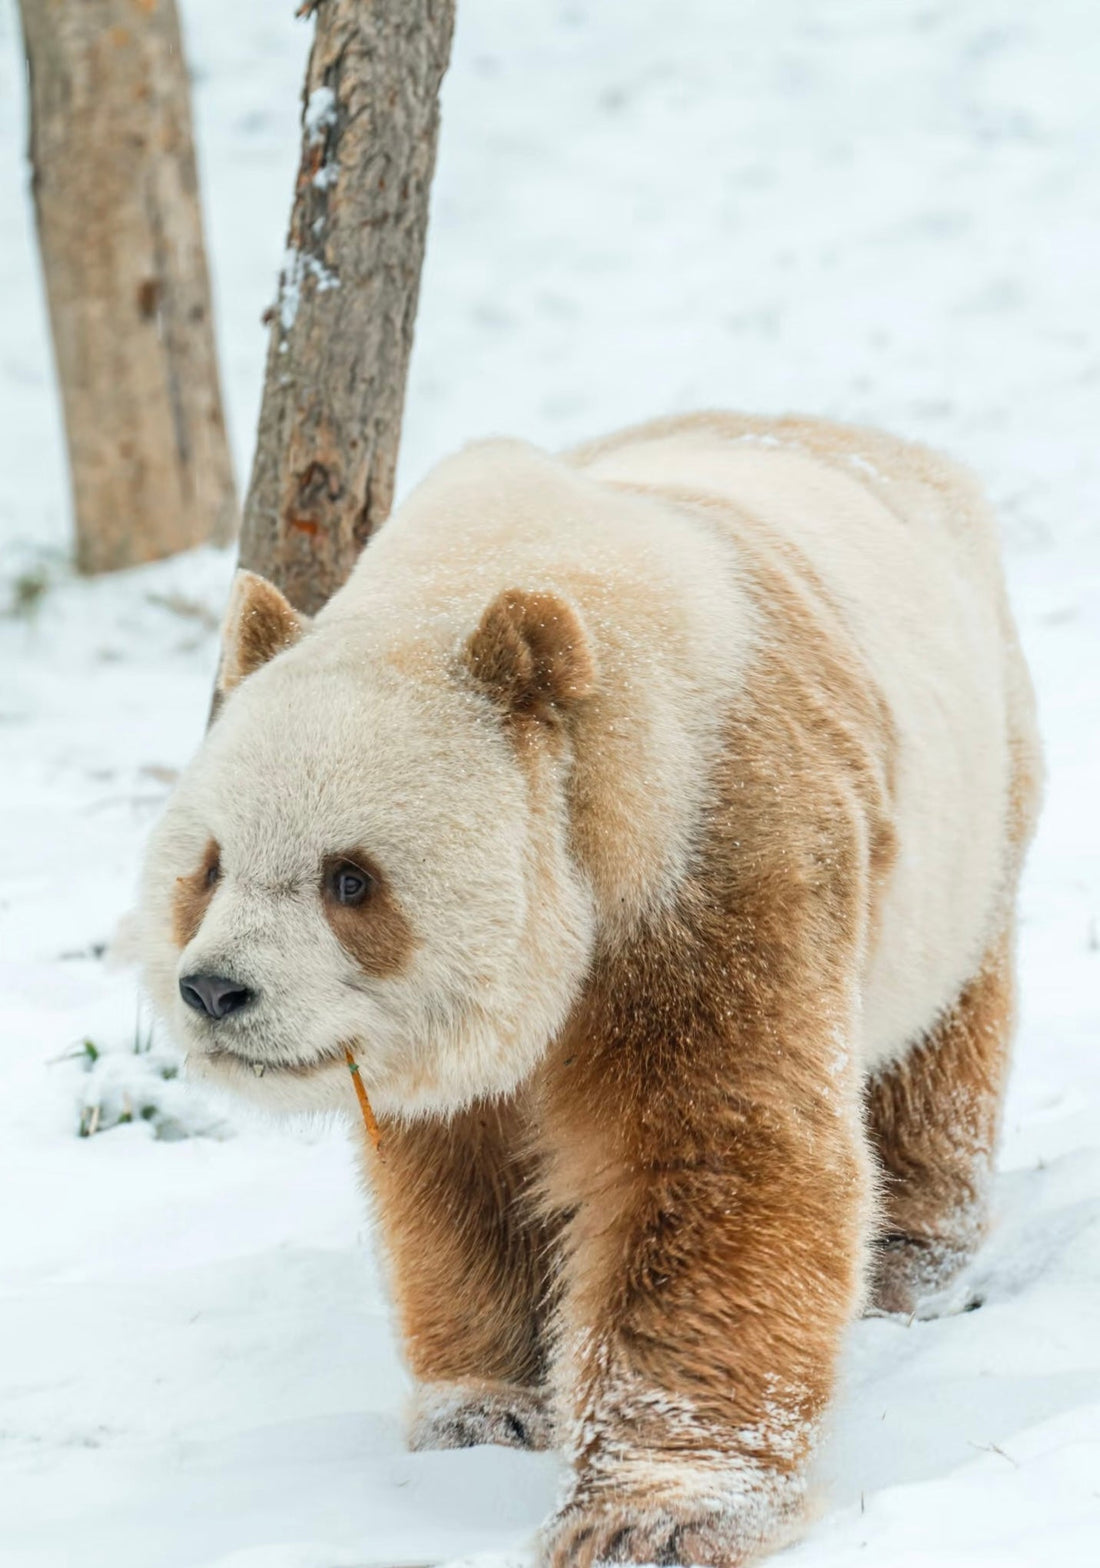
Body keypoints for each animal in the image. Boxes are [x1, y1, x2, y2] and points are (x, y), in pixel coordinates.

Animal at [139, 412, 1041, 1568]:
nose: (216, 990)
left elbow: (718, 1149)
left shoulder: (718, 845)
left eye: (350, 878)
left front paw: (657, 1510)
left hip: (971, 819)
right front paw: (485, 1410)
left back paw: (910, 1257)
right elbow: (462, 1177)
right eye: (208, 865)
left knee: (937, 1047)